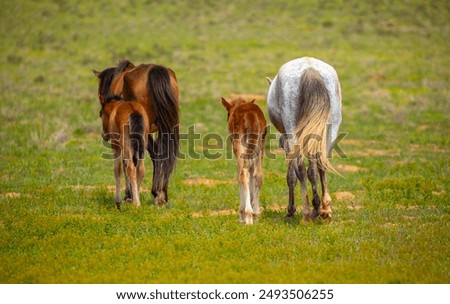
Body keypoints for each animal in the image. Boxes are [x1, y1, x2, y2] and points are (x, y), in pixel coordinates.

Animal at [93, 60, 179, 207]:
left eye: (100, 94)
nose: (104, 135)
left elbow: (126, 163)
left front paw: (129, 196)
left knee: (148, 157)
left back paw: (153, 194)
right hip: (166, 127)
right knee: (165, 156)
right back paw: (162, 195)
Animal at [221, 96, 268, 224]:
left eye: (228, 113)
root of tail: (251, 116)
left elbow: (239, 175)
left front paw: (241, 214)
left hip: (240, 145)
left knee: (243, 174)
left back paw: (247, 215)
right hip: (259, 146)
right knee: (258, 175)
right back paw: (255, 214)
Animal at [268, 57, 342, 221]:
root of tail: (309, 68)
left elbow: (291, 175)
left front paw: (291, 210)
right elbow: (313, 170)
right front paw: (318, 207)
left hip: (293, 133)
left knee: (301, 168)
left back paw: (307, 213)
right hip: (330, 130)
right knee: (321, 164)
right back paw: (324, 209)